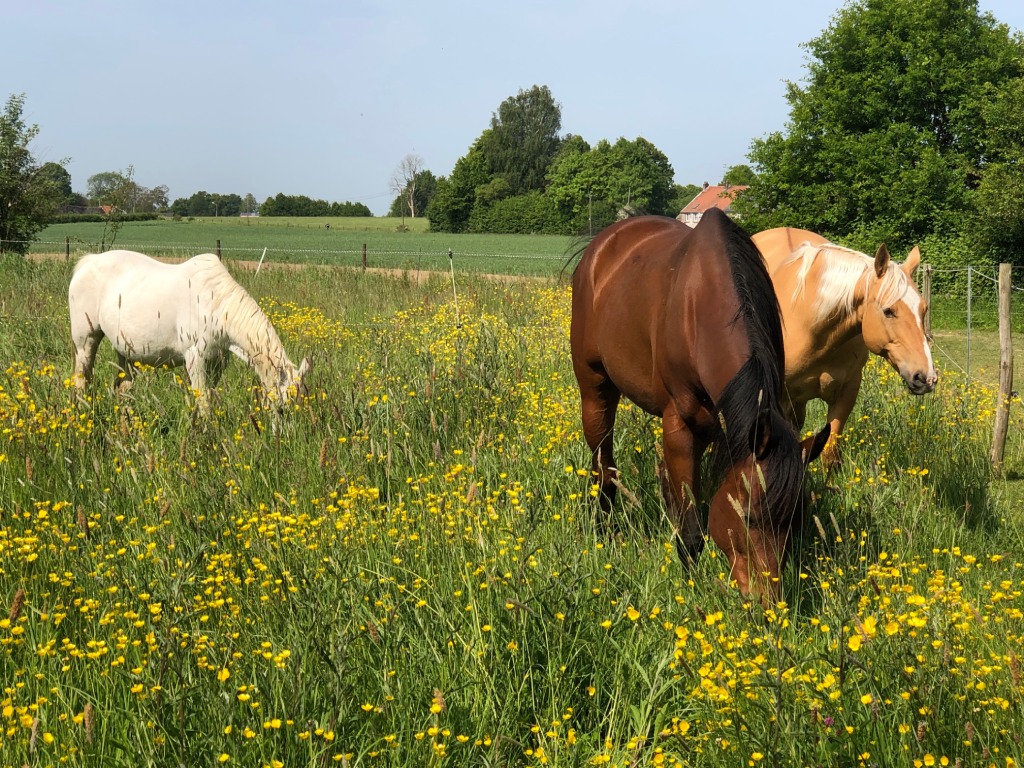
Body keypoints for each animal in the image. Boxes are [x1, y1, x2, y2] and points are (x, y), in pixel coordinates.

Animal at [69, 250, 311, 415]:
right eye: (282, 408)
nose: (282, 439)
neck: (215, 303)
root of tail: (88, 262)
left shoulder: (217, 361)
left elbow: (209, 396)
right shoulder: (196, 358)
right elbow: (203, 401)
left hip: (125, 351)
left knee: (123, 388)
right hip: (85, 341)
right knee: (82, 380)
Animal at [573, 208, 827, 602]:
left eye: (796, 519)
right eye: (749, 516)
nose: (766, 602)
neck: (703, 304)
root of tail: (599, 247)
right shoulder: (681, 423)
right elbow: (692, 529)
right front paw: (691, 586)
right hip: (595, 388)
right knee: (603, 463)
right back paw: (605, 529)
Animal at [749, 228, 937, 466]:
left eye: (924, 309)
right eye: (888, 311)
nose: (926, 377)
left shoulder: (847, 392)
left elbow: (830, 452)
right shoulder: (782, 400)